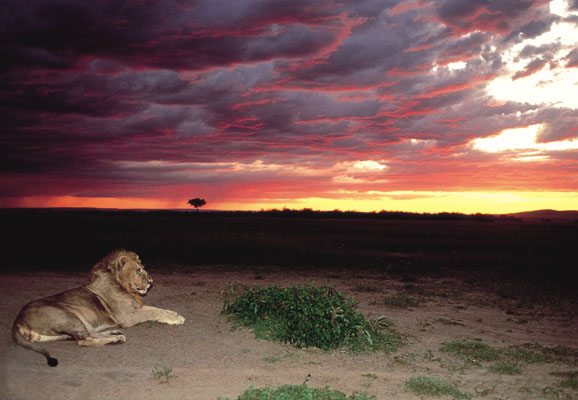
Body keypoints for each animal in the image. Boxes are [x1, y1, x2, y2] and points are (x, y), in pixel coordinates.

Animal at [11, 248, 183, 368]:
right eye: (139, 271)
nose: (151, 281)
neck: (123, 286)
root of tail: (18, 319)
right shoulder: (127, 316)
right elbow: (153, 311)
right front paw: (176, 318)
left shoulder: (134, 308)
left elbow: (155, 308)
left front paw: (174, 314)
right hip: (68, 315)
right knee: (84, 340)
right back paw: (116, 339)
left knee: (89, 334)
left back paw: (115, 333)